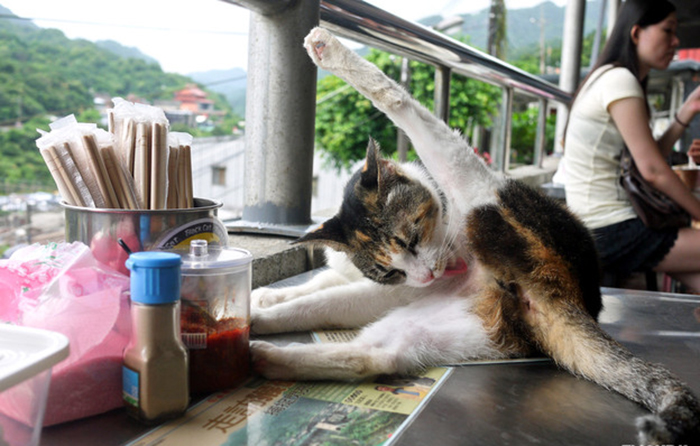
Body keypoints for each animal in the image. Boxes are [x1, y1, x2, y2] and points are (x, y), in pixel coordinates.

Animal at [250, 28, 700, 446]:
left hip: (478, 190)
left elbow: (320, 300)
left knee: (400, 105)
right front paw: (259, 307)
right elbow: (313, 295)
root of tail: (569, 296)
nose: (428, 277)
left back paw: (329, 49)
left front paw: (259, 308)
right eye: (388, 270)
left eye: (413, 238)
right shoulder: (379, 286)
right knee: (377, 354)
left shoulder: (393, 288)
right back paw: (261, 355)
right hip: (454, 326)